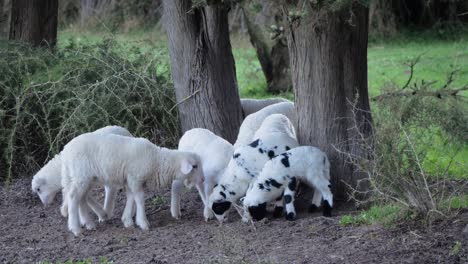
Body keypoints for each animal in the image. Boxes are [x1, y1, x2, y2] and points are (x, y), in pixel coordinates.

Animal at [60, 133, 203, 236]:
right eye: (194, 166)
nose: (202, 179)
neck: (157, 161)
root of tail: (65, 151)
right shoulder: (135, 178)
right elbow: (139, 199)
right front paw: (143, 223)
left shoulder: (131, 180)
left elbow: (131, 198)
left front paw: (127, 220)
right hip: (82, 176)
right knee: (73, 197)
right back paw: (76, 228)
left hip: (85, 178)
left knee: (82, 198)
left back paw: (89, 224)